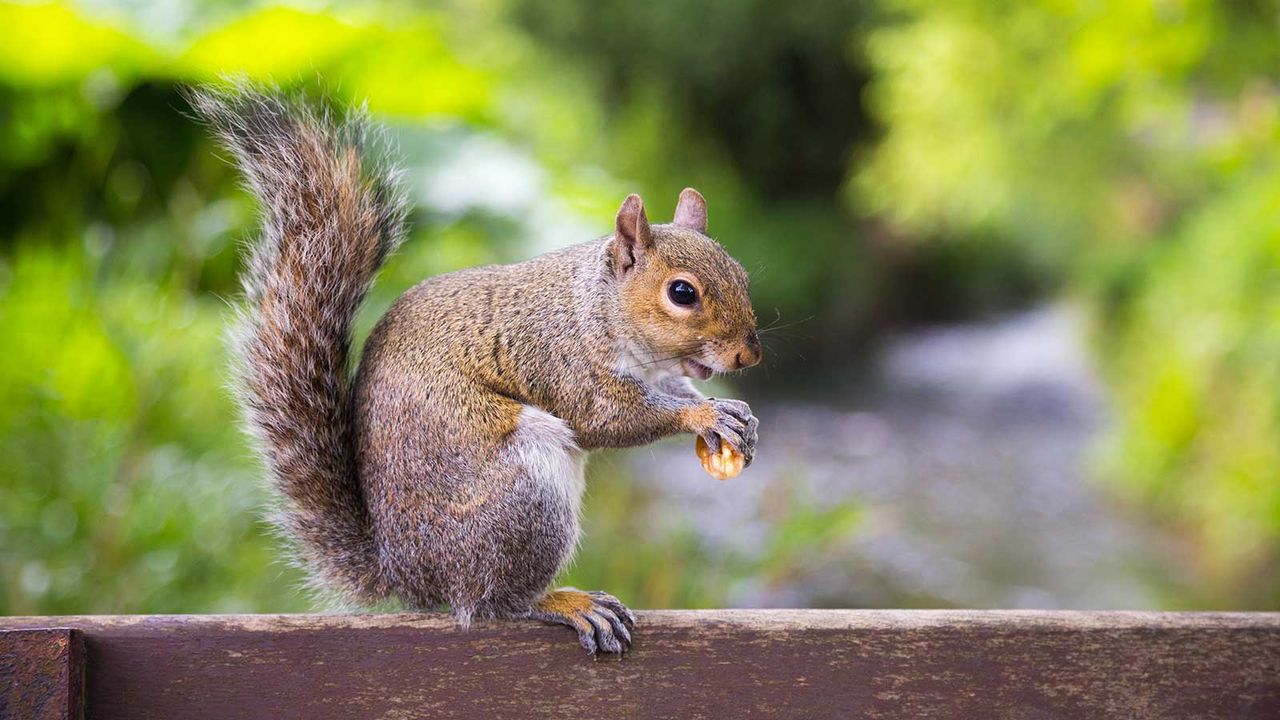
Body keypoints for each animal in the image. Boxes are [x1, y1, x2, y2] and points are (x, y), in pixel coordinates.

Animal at [189, 83, 757, 650]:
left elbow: (677, 393)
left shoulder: (658, 373)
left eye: (742, 273)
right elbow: (609, 419)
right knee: (492, 603)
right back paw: (563, 602)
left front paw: (732, 415)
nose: (748, 355)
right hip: (524, 496)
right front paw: (702, 417)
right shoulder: (565, 360)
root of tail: (409, 574)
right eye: (681, 293)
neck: (599, 306)